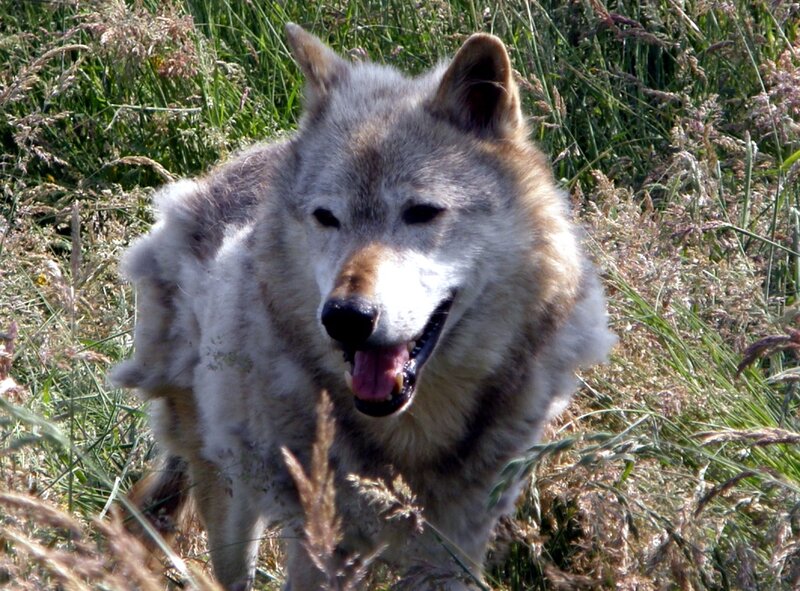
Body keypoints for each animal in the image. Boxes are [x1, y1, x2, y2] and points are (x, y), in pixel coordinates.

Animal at [112, 23, 615, 591]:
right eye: (327, 217)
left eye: (421, 212)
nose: (345, 318)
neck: (411, 435)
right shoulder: (321, 545)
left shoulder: (455, 547)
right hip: (228, 492)